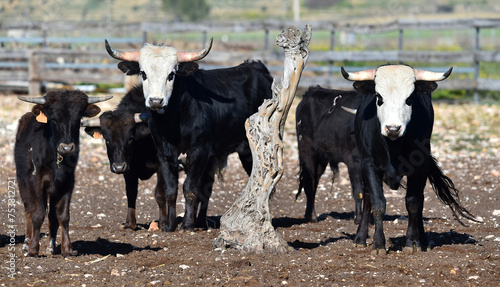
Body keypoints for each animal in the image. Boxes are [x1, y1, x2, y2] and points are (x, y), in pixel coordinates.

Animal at [14, 91, 111, 258]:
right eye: (53, 118)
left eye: (78, 119)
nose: (67, 148)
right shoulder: (35, 181)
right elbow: (38, 213)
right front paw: (33, 249)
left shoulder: (67, 183)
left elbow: (63, 216)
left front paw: (67, 249)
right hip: (22, 181)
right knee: (28, 209)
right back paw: (26, 243)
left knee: (52, 216)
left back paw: (51, 247)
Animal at [82, 86, 166, 232]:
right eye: (107, 140)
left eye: (130, 139)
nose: (118, 167)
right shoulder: (129, 170)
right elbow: (131, 194)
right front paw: (130, 223)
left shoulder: (162, 166)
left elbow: (160, 193)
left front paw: (162, 223)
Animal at [105, 39, 274, 232]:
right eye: (143, 73)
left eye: (171, 74)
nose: (156, 101)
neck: (172, 122)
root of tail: (256, 66)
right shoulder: (163, 155)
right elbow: (171, 190)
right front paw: (169, 225)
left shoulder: (198, 151)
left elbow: (190, 188)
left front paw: (186, 224)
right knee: (208, 187)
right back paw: (200, 221)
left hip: (252, 149)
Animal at [296, 86, 364, 225]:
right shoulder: (354, 161)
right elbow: (358, 191)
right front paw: (358, 219)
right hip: (307, 151)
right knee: (309, 183)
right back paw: (312, 217)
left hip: (321, 158)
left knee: (315, 181)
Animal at [342, 64, 474, 255]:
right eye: (379, 97)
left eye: (410, 99)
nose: (393, 128)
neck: (393, 145)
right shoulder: (369, 164)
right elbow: (378, 202)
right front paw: (378, 244)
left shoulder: (420, 167)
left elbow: (413, 202)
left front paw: (412, 243)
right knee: (367, 196)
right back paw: (360, 238)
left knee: (420, 200)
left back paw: (423, 240)